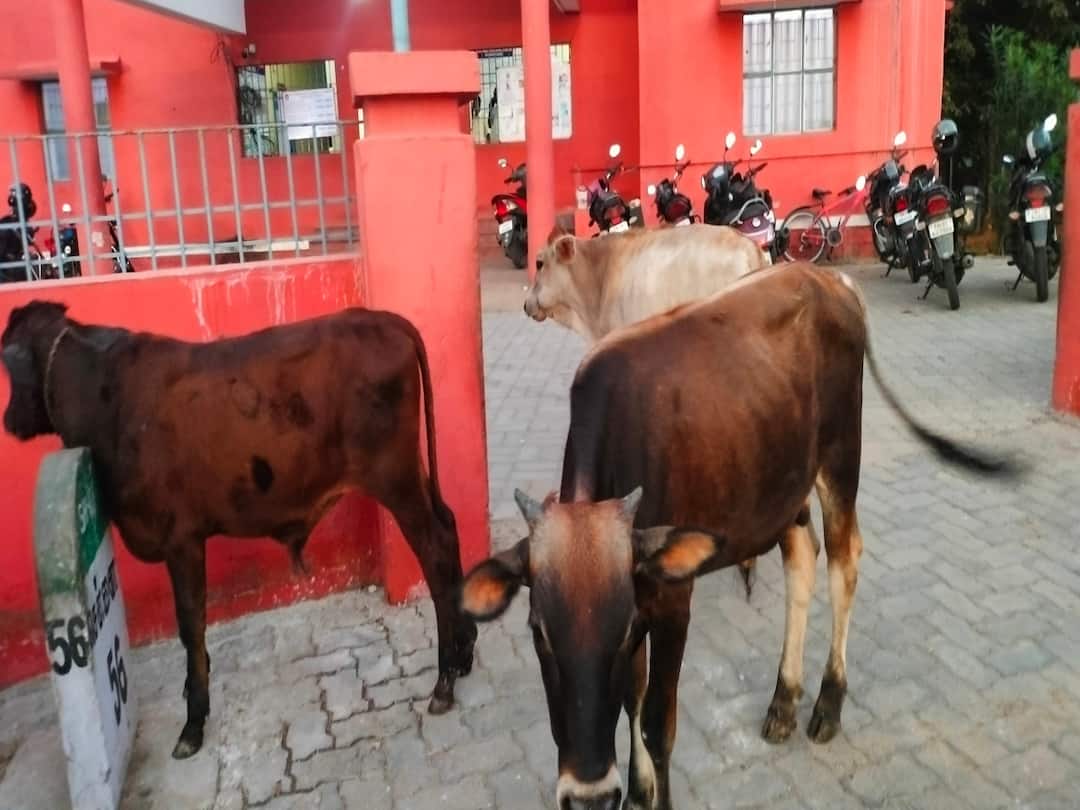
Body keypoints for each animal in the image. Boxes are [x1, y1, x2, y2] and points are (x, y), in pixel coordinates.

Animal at [1, 301, 477, 759]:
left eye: (8, 362)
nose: (9, 420)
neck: (107, 395)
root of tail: (381, 318)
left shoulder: (181, 538)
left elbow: (190, 623)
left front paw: (193, 721)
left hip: (394, 478)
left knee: (435, 551)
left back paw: (444, 681)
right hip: (411, 474)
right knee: (449, 527)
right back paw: (465, 651)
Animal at [462, 264, 1017, 810]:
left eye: (621, 630)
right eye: (539, 631)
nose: (588, 796)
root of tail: (830, 279)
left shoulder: (670, 597)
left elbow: (656, 723)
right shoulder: (641, 585)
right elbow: (632, 698)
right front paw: (639, 789)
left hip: (841, 459)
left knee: (845, 562)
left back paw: (827, 703)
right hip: (782, 483)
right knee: (802, 559)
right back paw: (783, 702)